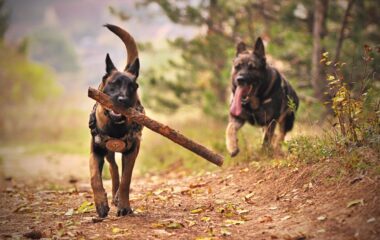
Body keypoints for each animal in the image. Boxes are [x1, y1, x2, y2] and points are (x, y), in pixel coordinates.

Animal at [87, 24, 144, 218]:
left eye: (132, 86)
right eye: (113, 84)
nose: (122, 99)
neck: (115, 126)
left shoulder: (132, 151)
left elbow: (127, 180)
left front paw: (124, 206)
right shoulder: (96, 151)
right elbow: (95, 177)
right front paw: (100, 203)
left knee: (120, 171)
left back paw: (118, 197)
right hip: (108, 152)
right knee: (113, 168)